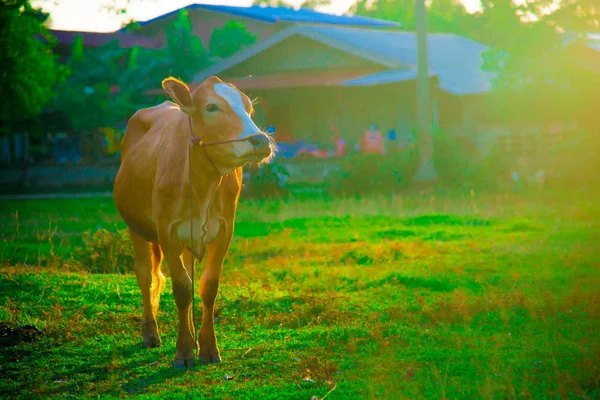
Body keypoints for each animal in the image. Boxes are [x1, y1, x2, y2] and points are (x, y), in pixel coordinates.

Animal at [113, 75, 276, 368]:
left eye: (248, 108)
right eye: (211, 107)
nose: (260, 140)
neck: (202, 183)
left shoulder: (224, 230)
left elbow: (207, 286)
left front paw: (208, 347)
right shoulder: (166, 232)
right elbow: (180, 288)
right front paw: (185, 351)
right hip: (135, 228)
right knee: (145, 276)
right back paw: (150, 334)